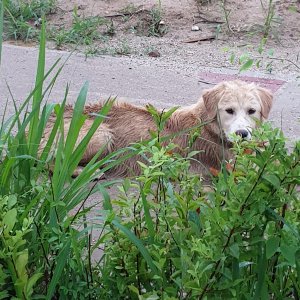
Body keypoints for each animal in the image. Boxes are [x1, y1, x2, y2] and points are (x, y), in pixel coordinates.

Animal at [41, 79, 274, 177]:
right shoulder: (224, 165)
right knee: (49, 163)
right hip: (102, 135)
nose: (242, 134)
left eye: (252, 111)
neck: (208, 124)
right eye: (229, 110)